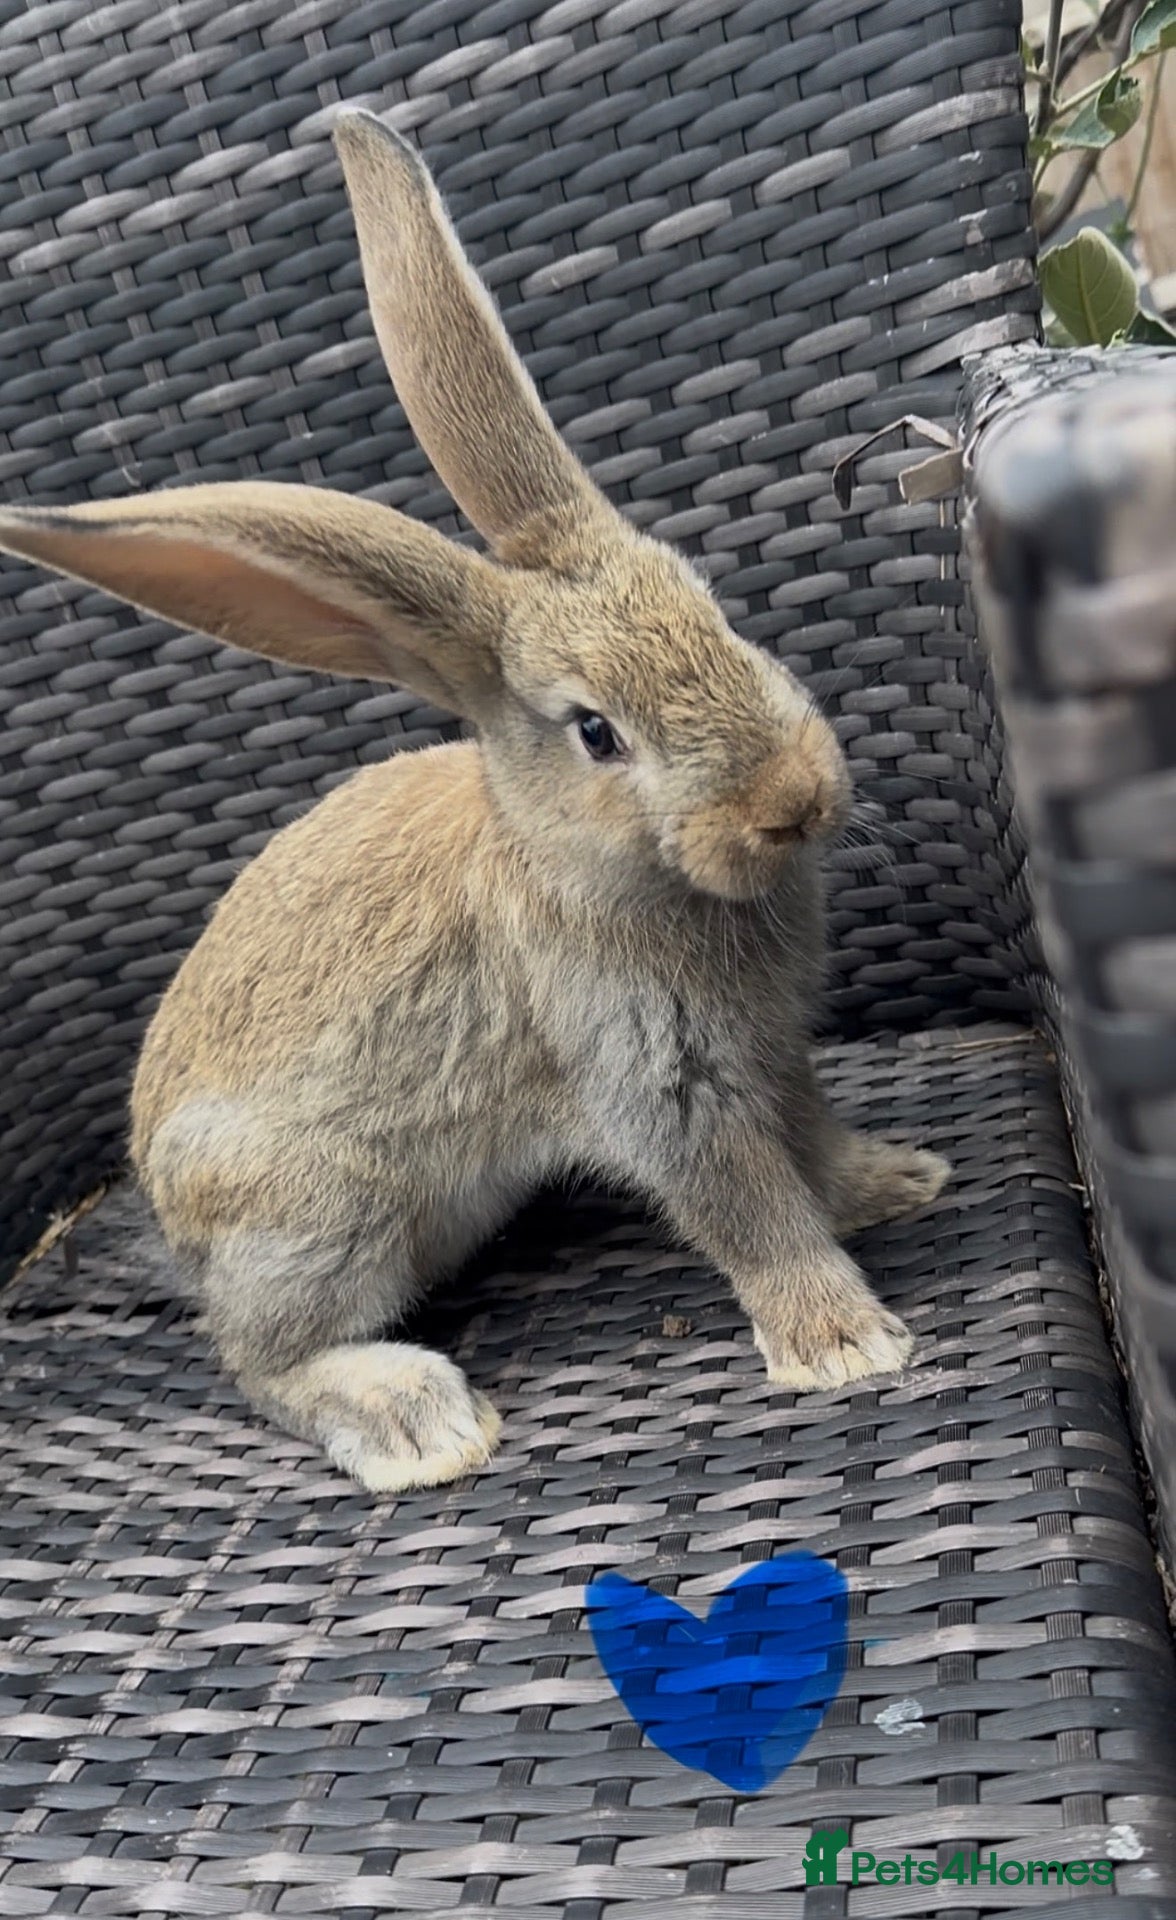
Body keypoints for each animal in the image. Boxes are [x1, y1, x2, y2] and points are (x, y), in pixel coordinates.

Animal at [0, 110, 950, 1493]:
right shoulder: (663, 1084)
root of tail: (178, 1233)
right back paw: (415, 1421)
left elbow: (813, 1139)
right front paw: (845, 1345)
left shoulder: (773, 1052)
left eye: (716, 610)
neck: (585, 863)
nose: (795, 798)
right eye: (596, 732)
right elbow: (750, 1207)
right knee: (258, 1363)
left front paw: (896, 1182)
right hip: (325, 1216)